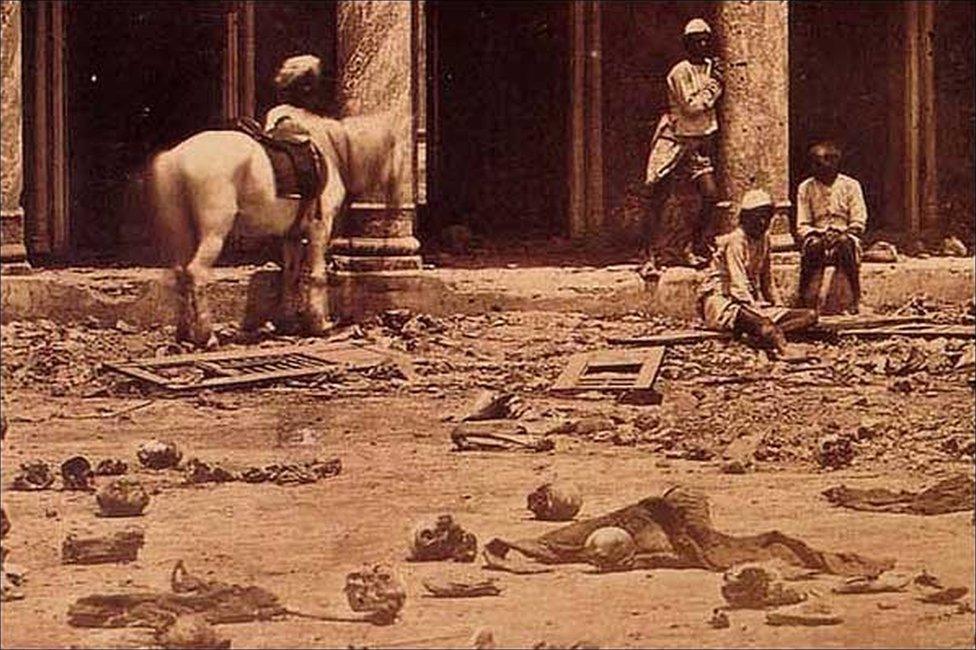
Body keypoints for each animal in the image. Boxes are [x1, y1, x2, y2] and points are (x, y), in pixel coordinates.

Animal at [148, 104, 396, 346]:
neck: (334, 151)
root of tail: (176, 158)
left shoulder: (291, 236)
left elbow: (291, 275)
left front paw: (287, 323)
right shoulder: (319, 229)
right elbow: (317, 275)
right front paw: (319, 325)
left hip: (182, 234)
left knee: (180, 274)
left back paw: (184, 334)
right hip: (214, 234)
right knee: (196, 272)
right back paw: (206, 336)